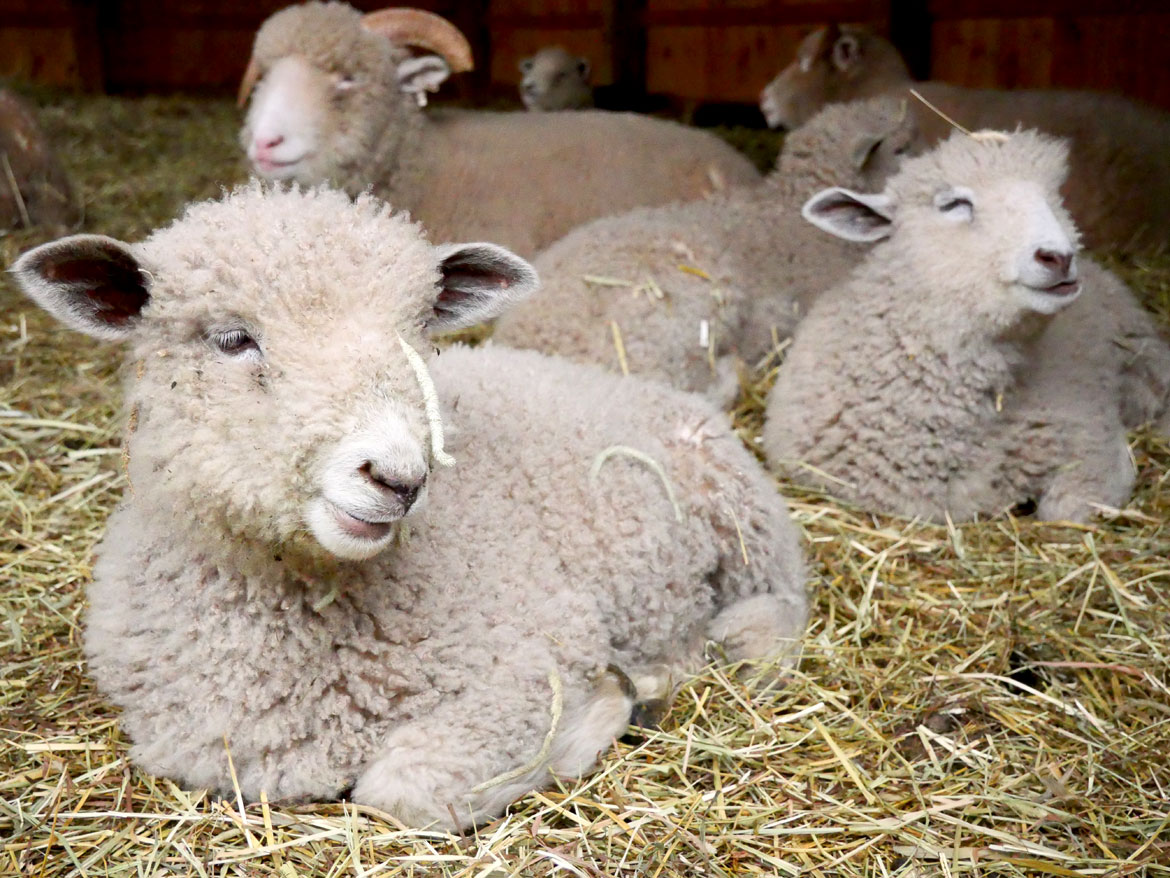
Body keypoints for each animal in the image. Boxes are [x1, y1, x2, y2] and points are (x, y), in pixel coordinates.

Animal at [11, 183, 808, 831]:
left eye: (419, 334)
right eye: (233, 339)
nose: (398, 477)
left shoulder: (538, 652)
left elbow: (404, 789)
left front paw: (608, 704)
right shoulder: (201, 743)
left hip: (748, 521)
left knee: (777, 618)